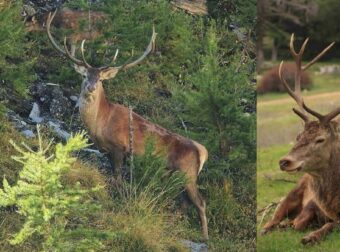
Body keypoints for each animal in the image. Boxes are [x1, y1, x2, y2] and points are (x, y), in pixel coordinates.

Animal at [46, 10, 209, 239]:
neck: (101, 122)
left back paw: (205, 236)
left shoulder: (119, 148)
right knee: (186, 202)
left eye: (101, 79)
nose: (91, 87)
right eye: (85, 75)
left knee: (201, 203)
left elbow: (117, 178)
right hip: (180, 176)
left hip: (188, 173)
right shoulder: (105, 150)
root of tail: (201, 151)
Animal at [260, 34, 338, 244]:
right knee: (269, 222)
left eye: (320, 139)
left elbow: (331, 225)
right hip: (291, 194)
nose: (284, 161)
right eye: (298, 136)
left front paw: (311, 236)